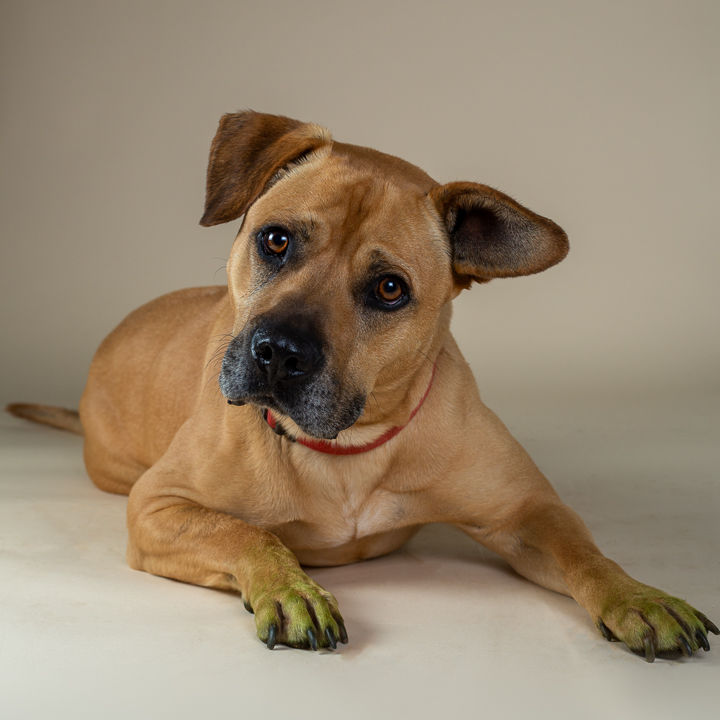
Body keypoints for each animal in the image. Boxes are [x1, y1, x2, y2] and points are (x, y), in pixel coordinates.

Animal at [8, 111, 716, 660]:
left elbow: (587, 552)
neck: (347, 448)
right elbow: (249, 533)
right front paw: (292, 590)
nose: (278, 354)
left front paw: (640, 596)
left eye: (389, 288)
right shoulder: (159, 505)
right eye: (275, 239)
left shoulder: (527, 510)